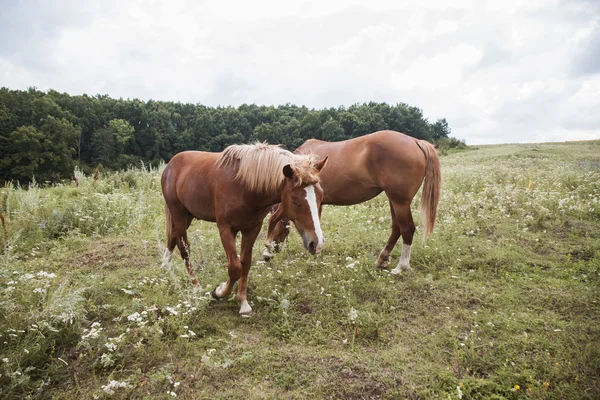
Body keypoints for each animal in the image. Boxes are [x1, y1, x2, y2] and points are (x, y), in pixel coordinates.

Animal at [161, 142, 328, 314]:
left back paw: (165, 266)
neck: (244, 186)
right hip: (178, 214)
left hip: (188, 215)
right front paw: (219, 291)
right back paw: (196, 286)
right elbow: (235, 268)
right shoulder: (226, 229)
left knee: (173, 238)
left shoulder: (252, 228)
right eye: (295, 200)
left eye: (321, 195)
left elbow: (245, 263)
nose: (317, 243)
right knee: (184, 248)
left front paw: (242, 302)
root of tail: (171, 164)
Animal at [264, 131, 440, 276]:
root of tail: (415, 141)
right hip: (394, 200)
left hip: (399, 201)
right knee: (397, 228)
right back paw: (382, 260)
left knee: (407, 229)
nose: (267, 257)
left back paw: (401, 267)